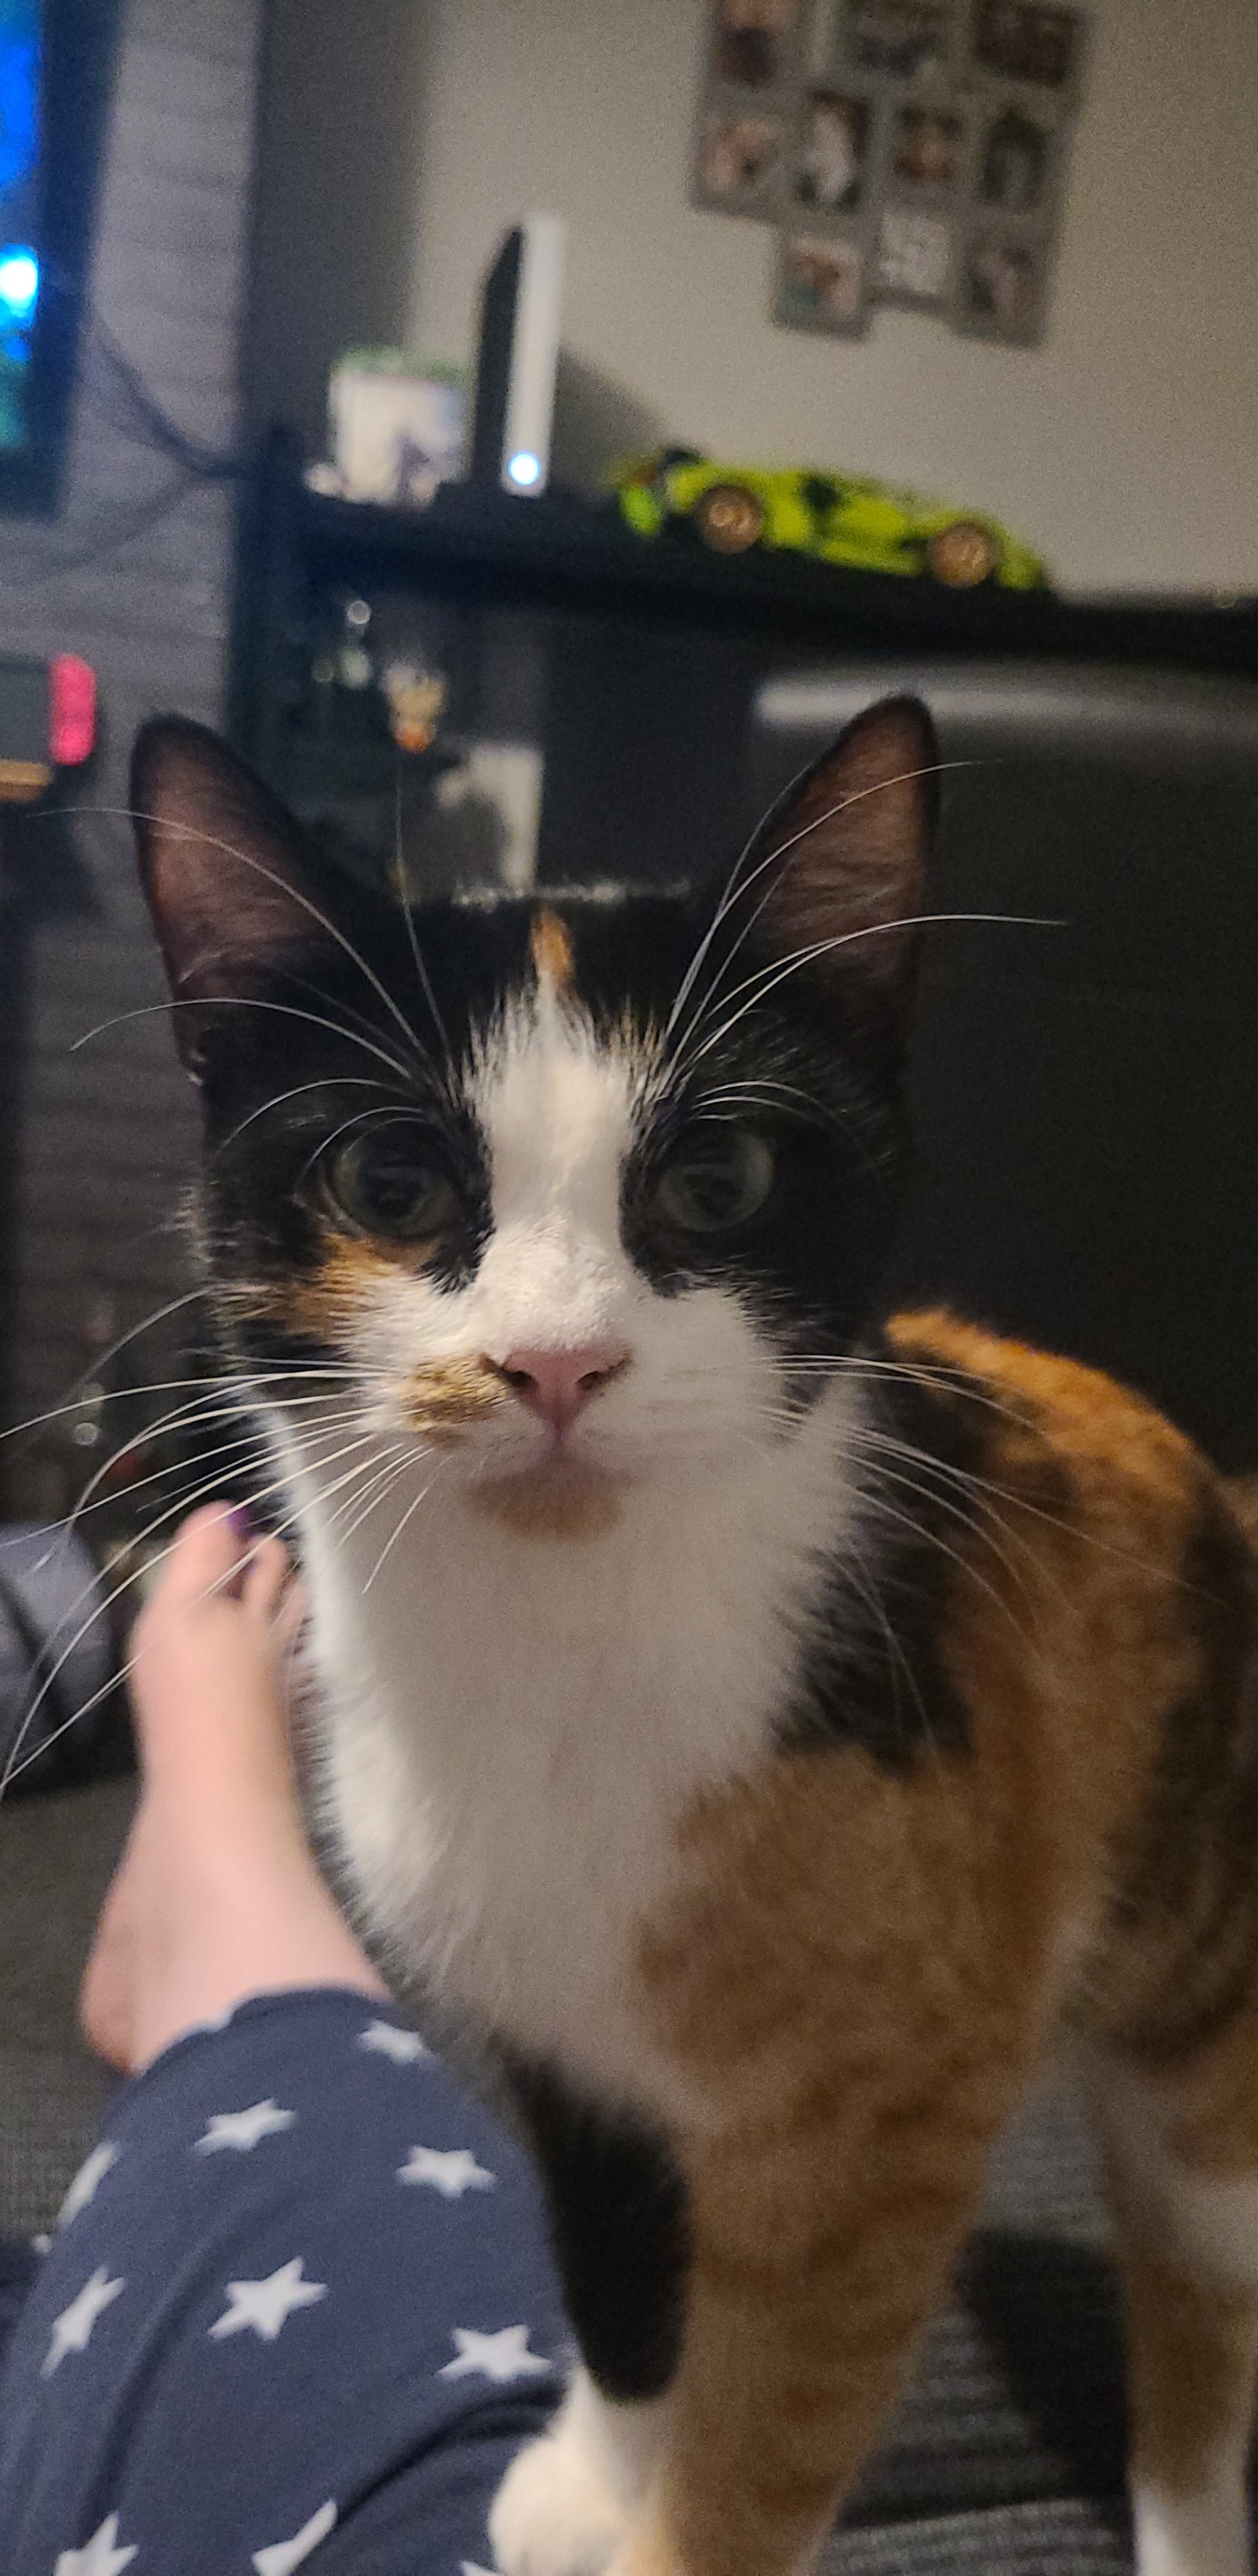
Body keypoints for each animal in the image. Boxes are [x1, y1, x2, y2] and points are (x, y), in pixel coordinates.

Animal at [130, 695, 1258, 2576]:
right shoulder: (558, 2048)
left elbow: (772, 2419)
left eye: (718, 1177)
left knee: (1200, 2280)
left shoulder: (878, 2131)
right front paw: (597, 2472)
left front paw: (680, 2515)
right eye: (392, 1178)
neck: (554, 1648)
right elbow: (615, 2259)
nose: (556, 1364)